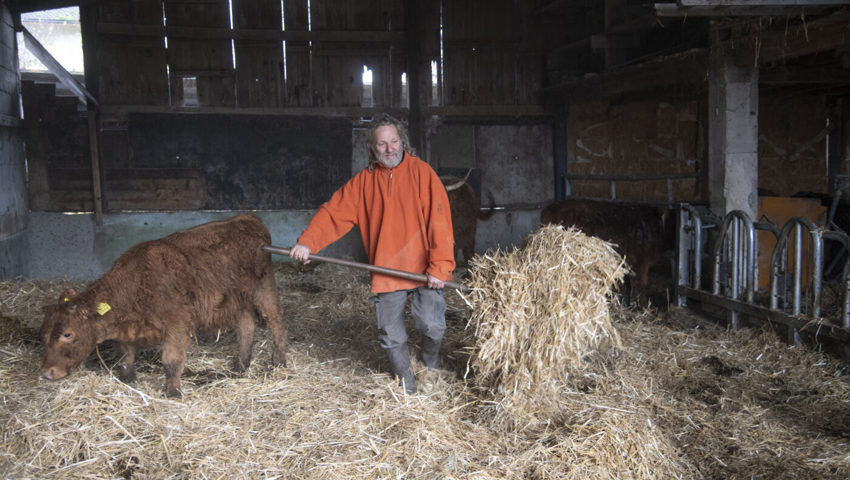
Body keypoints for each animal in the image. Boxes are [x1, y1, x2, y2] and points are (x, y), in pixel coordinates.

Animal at [39, 215, 286, 398]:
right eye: (43, 335)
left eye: (68, 334)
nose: (47, 372)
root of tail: (248, 218)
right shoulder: (126, 334)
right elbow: (125, 356)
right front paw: (128, 379)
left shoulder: (177, 325)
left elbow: (171, 361)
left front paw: (173, 392)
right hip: (237, 300)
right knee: (246, 326)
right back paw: (241, 365)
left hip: (265, 289)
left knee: (275, 323)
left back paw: (279, 361)